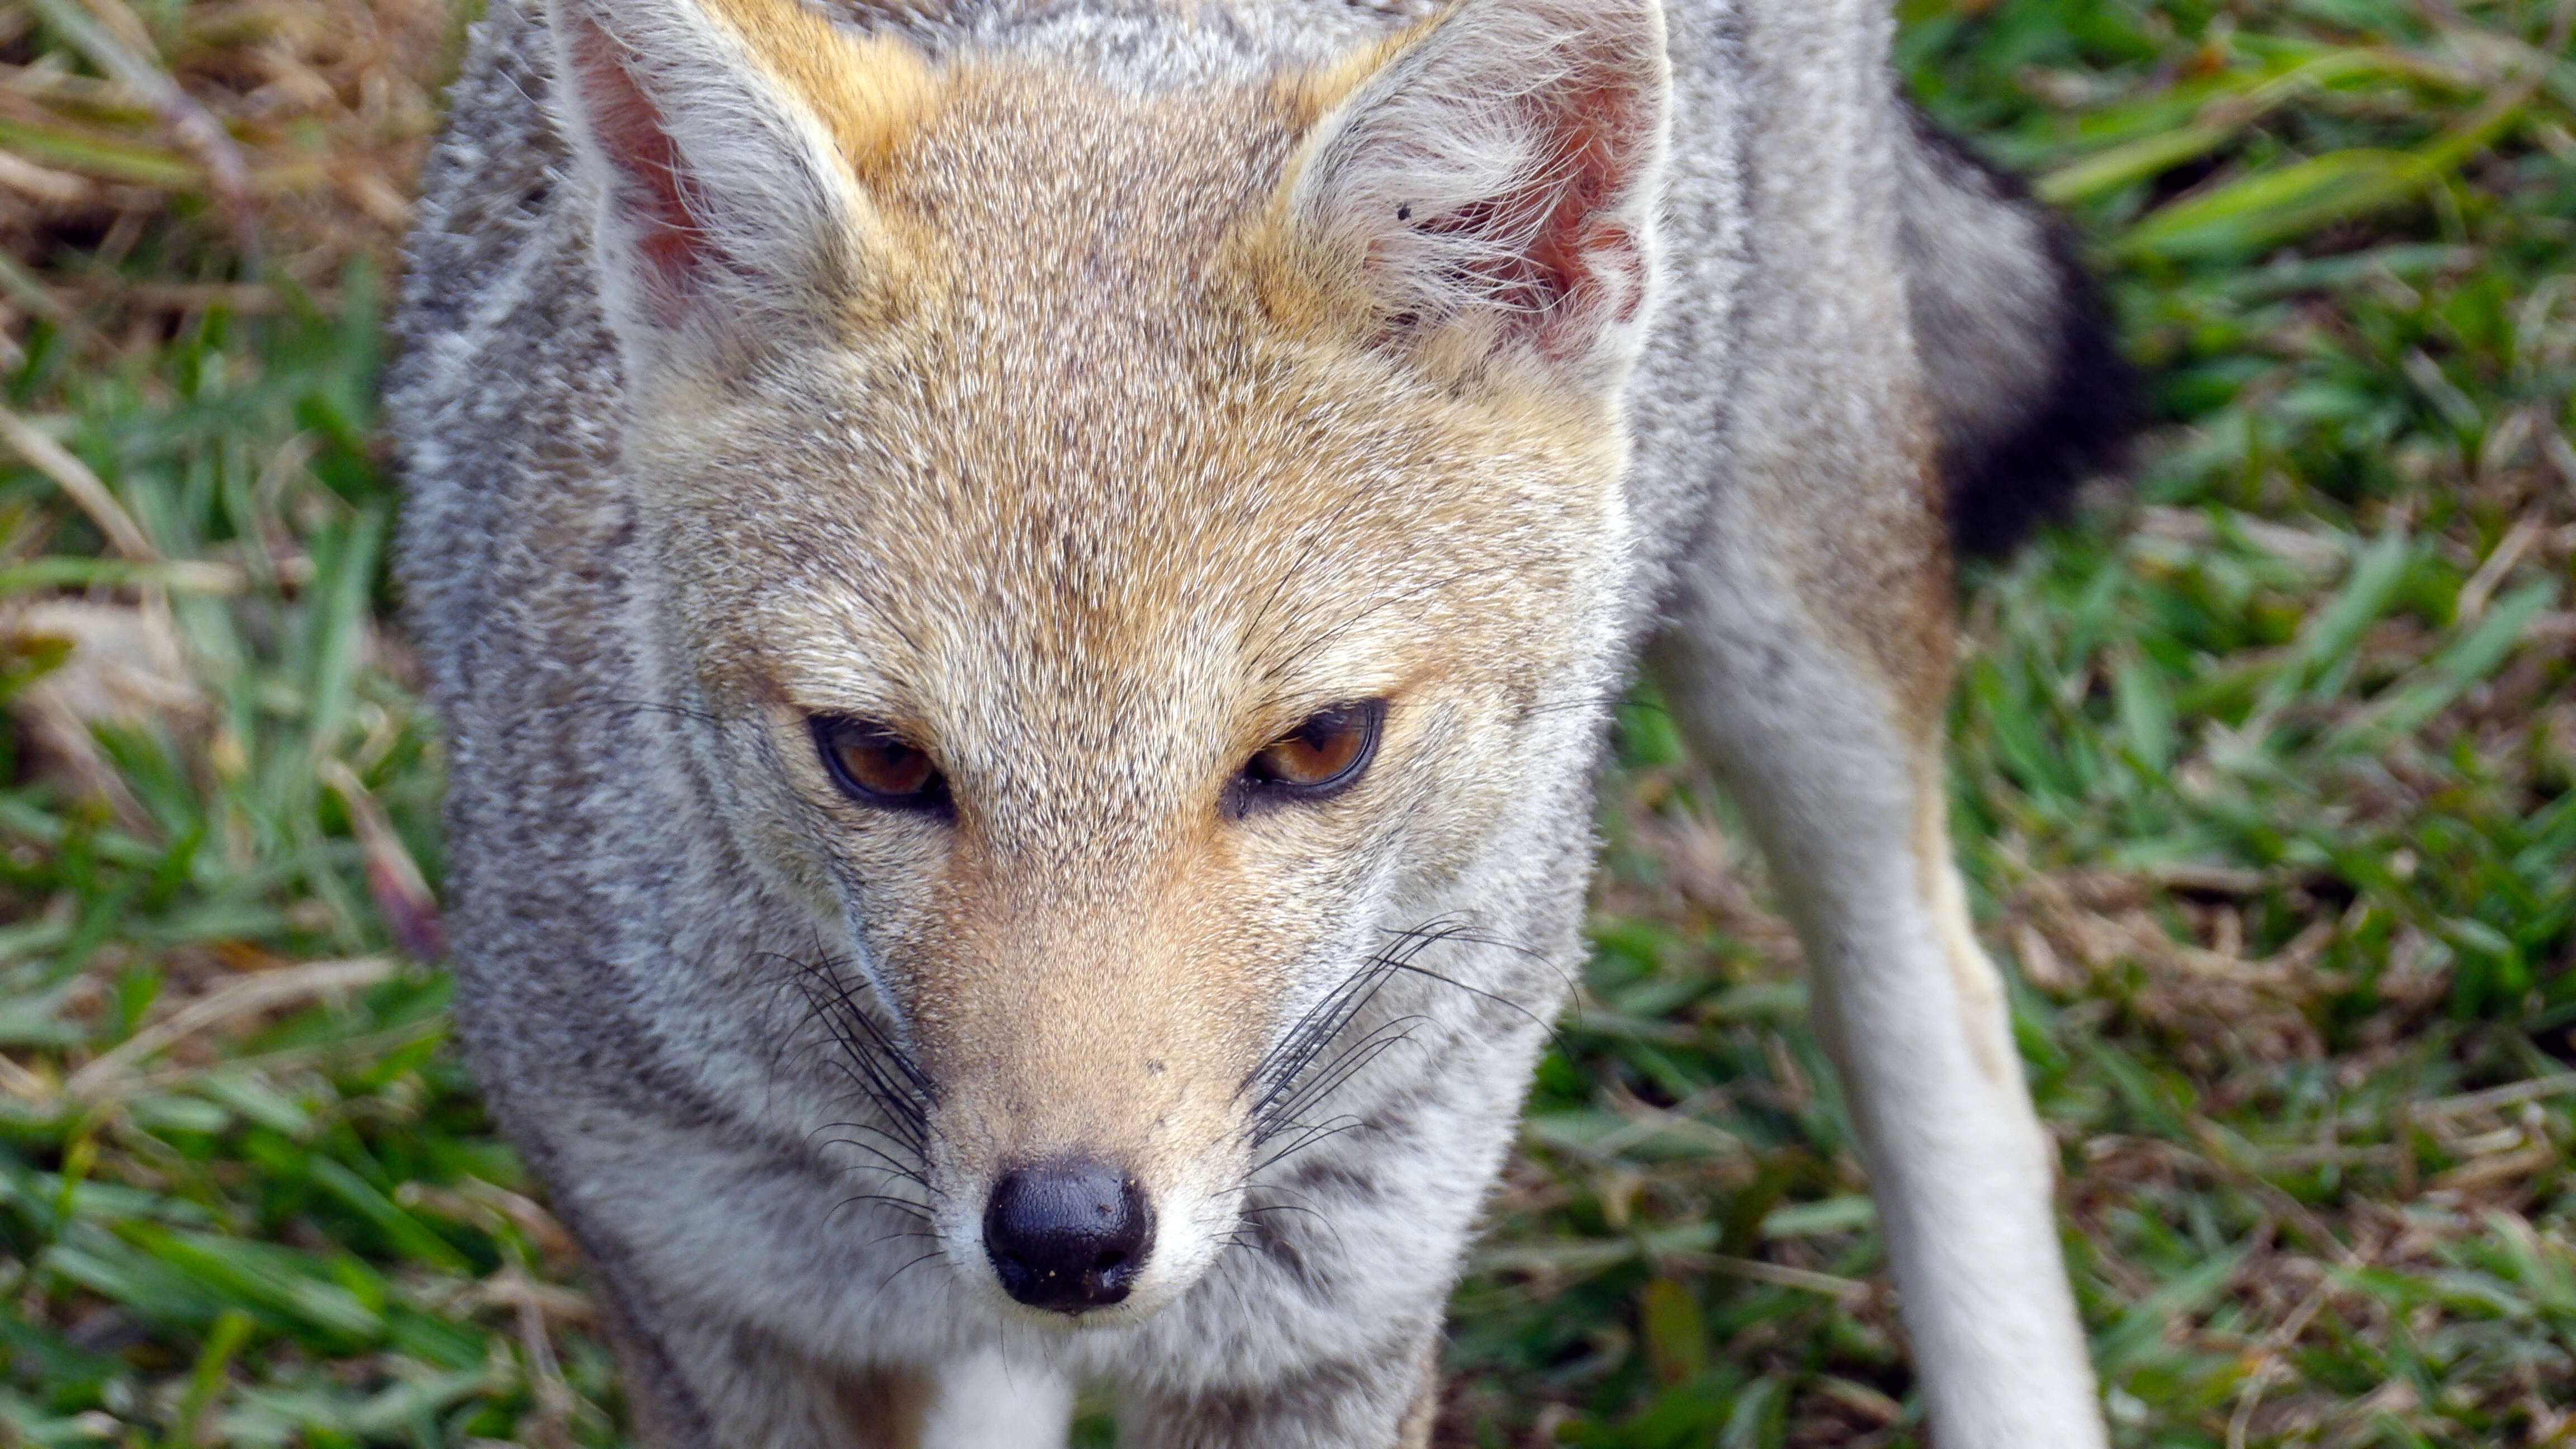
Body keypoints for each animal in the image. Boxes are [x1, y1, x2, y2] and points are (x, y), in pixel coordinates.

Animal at [386, 0, 2133, 1433]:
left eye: (1314, 751)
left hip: (1799, 636)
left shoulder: (1328, 1335)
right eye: (877, 761)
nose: (1066, 1238)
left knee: (1949, 1029)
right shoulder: (712, 1302)